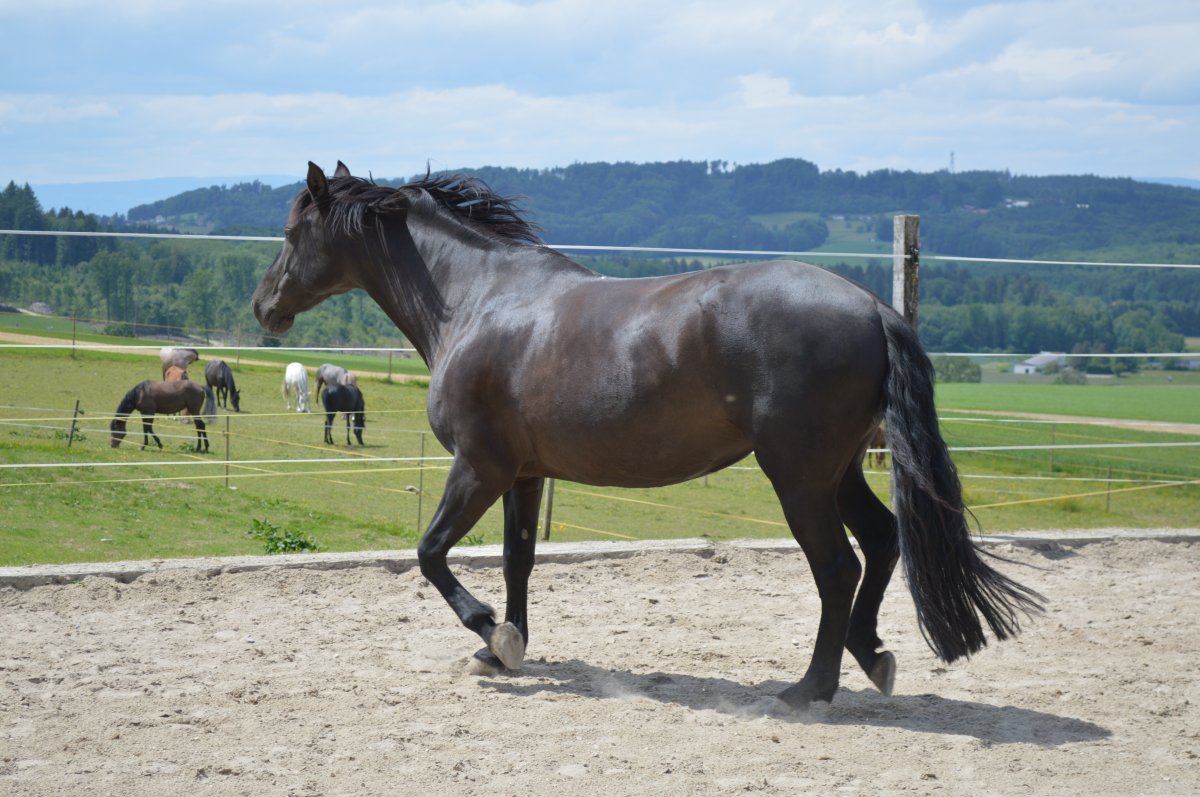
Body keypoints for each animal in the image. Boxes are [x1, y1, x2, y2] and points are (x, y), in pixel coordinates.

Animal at [246, 162, 1041, 710]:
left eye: (291, 233)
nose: (264, 307)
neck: (477, 300)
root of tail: (875, 308)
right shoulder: (525, 473)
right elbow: (517, 561)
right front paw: (506, 647)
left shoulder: (480, 466)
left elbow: (431, 552)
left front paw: (491, 634)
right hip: (839, 469)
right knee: (881, 540)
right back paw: (871, 655)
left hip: (799, 477)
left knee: (839, 567)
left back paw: (809, 687)